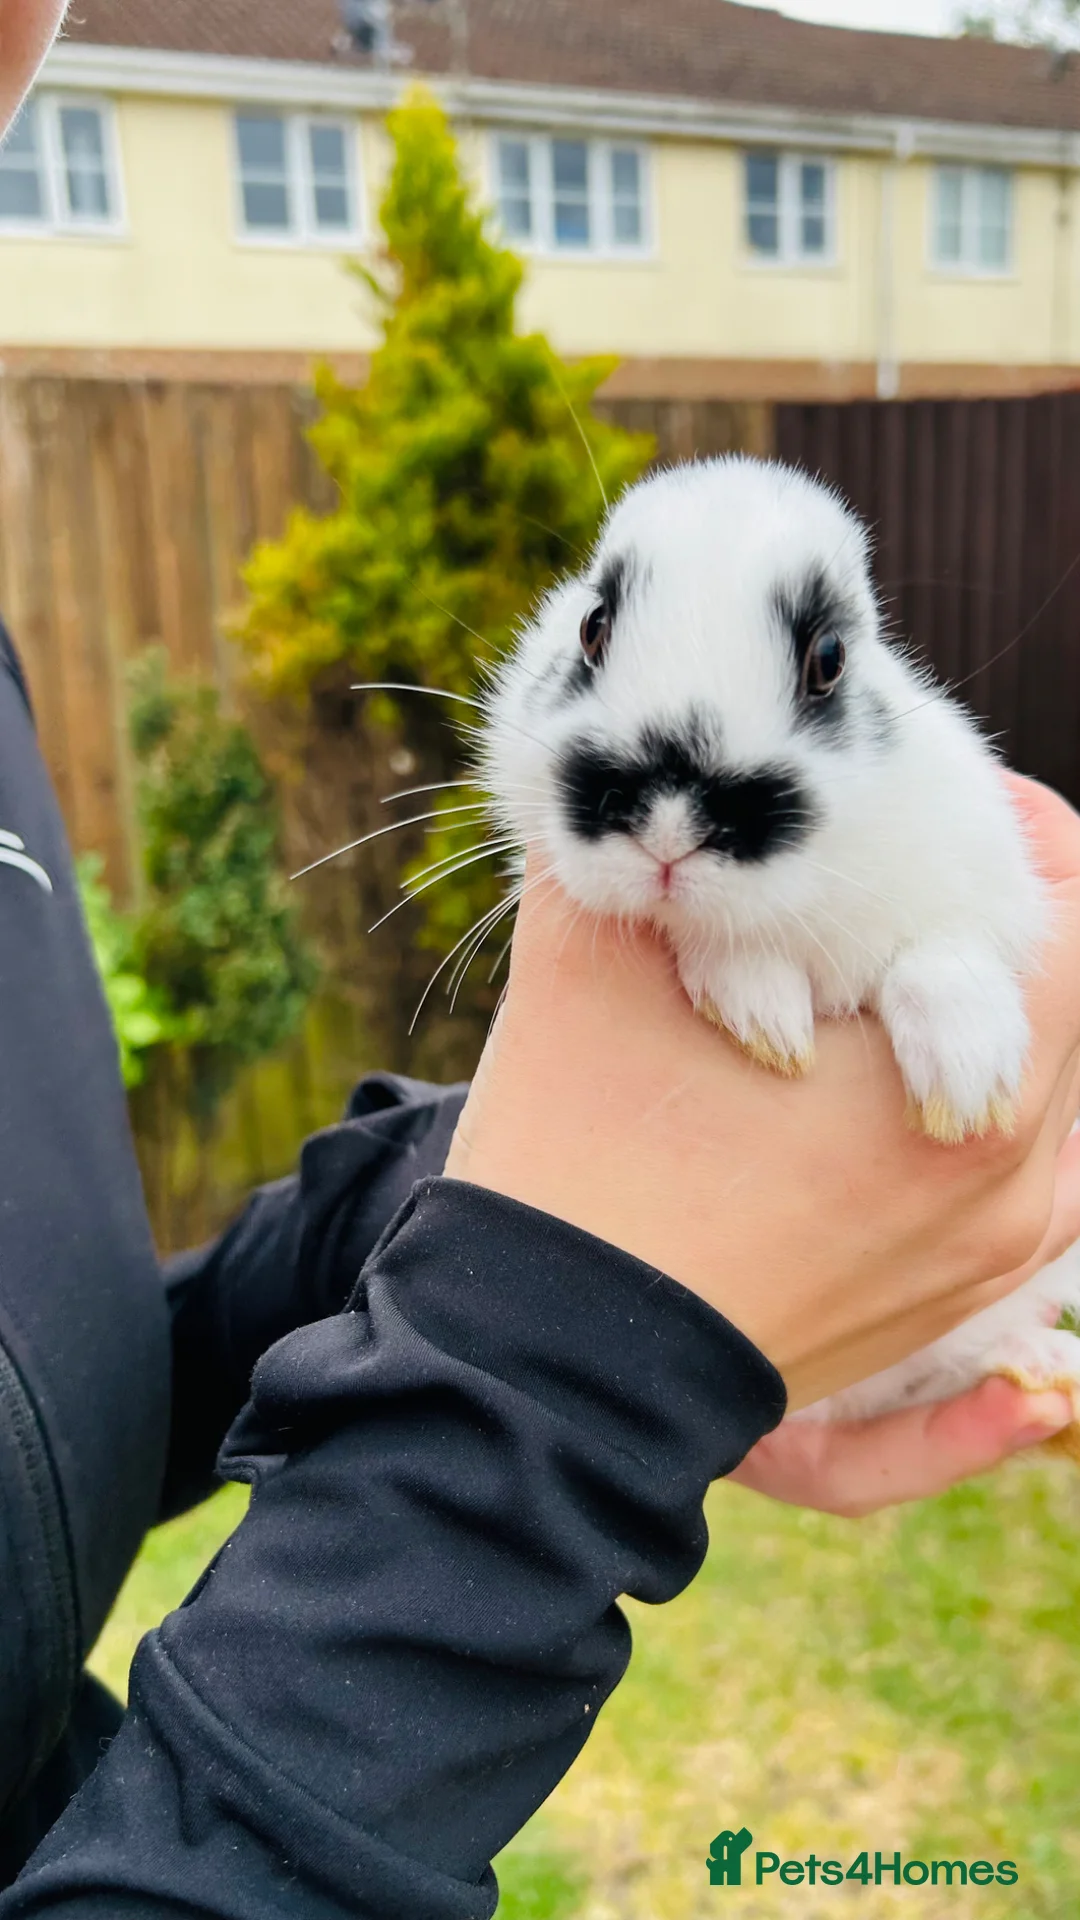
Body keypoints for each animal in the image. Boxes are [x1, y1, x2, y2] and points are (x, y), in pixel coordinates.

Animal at [477, 454, 1080, 1437]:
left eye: (827, 659)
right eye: (593, 628)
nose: (669, 827)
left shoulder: (987, 887)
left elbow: (941, 956)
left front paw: (966, 1078)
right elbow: (731, 955)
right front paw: (763, 1013)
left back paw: (1043, 1364)